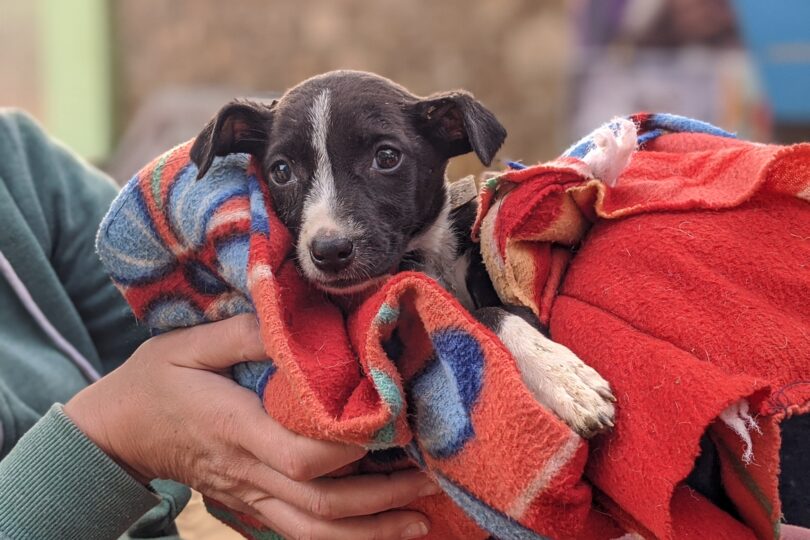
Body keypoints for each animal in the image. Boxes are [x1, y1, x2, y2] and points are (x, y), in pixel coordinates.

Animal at [193, 69, 616, 436]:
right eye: (281, 171)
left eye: (387, 157)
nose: (328, 251)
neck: (431, 254)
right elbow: (478, 316)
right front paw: (560, 376)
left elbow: (501, 309)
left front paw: (557, 370)